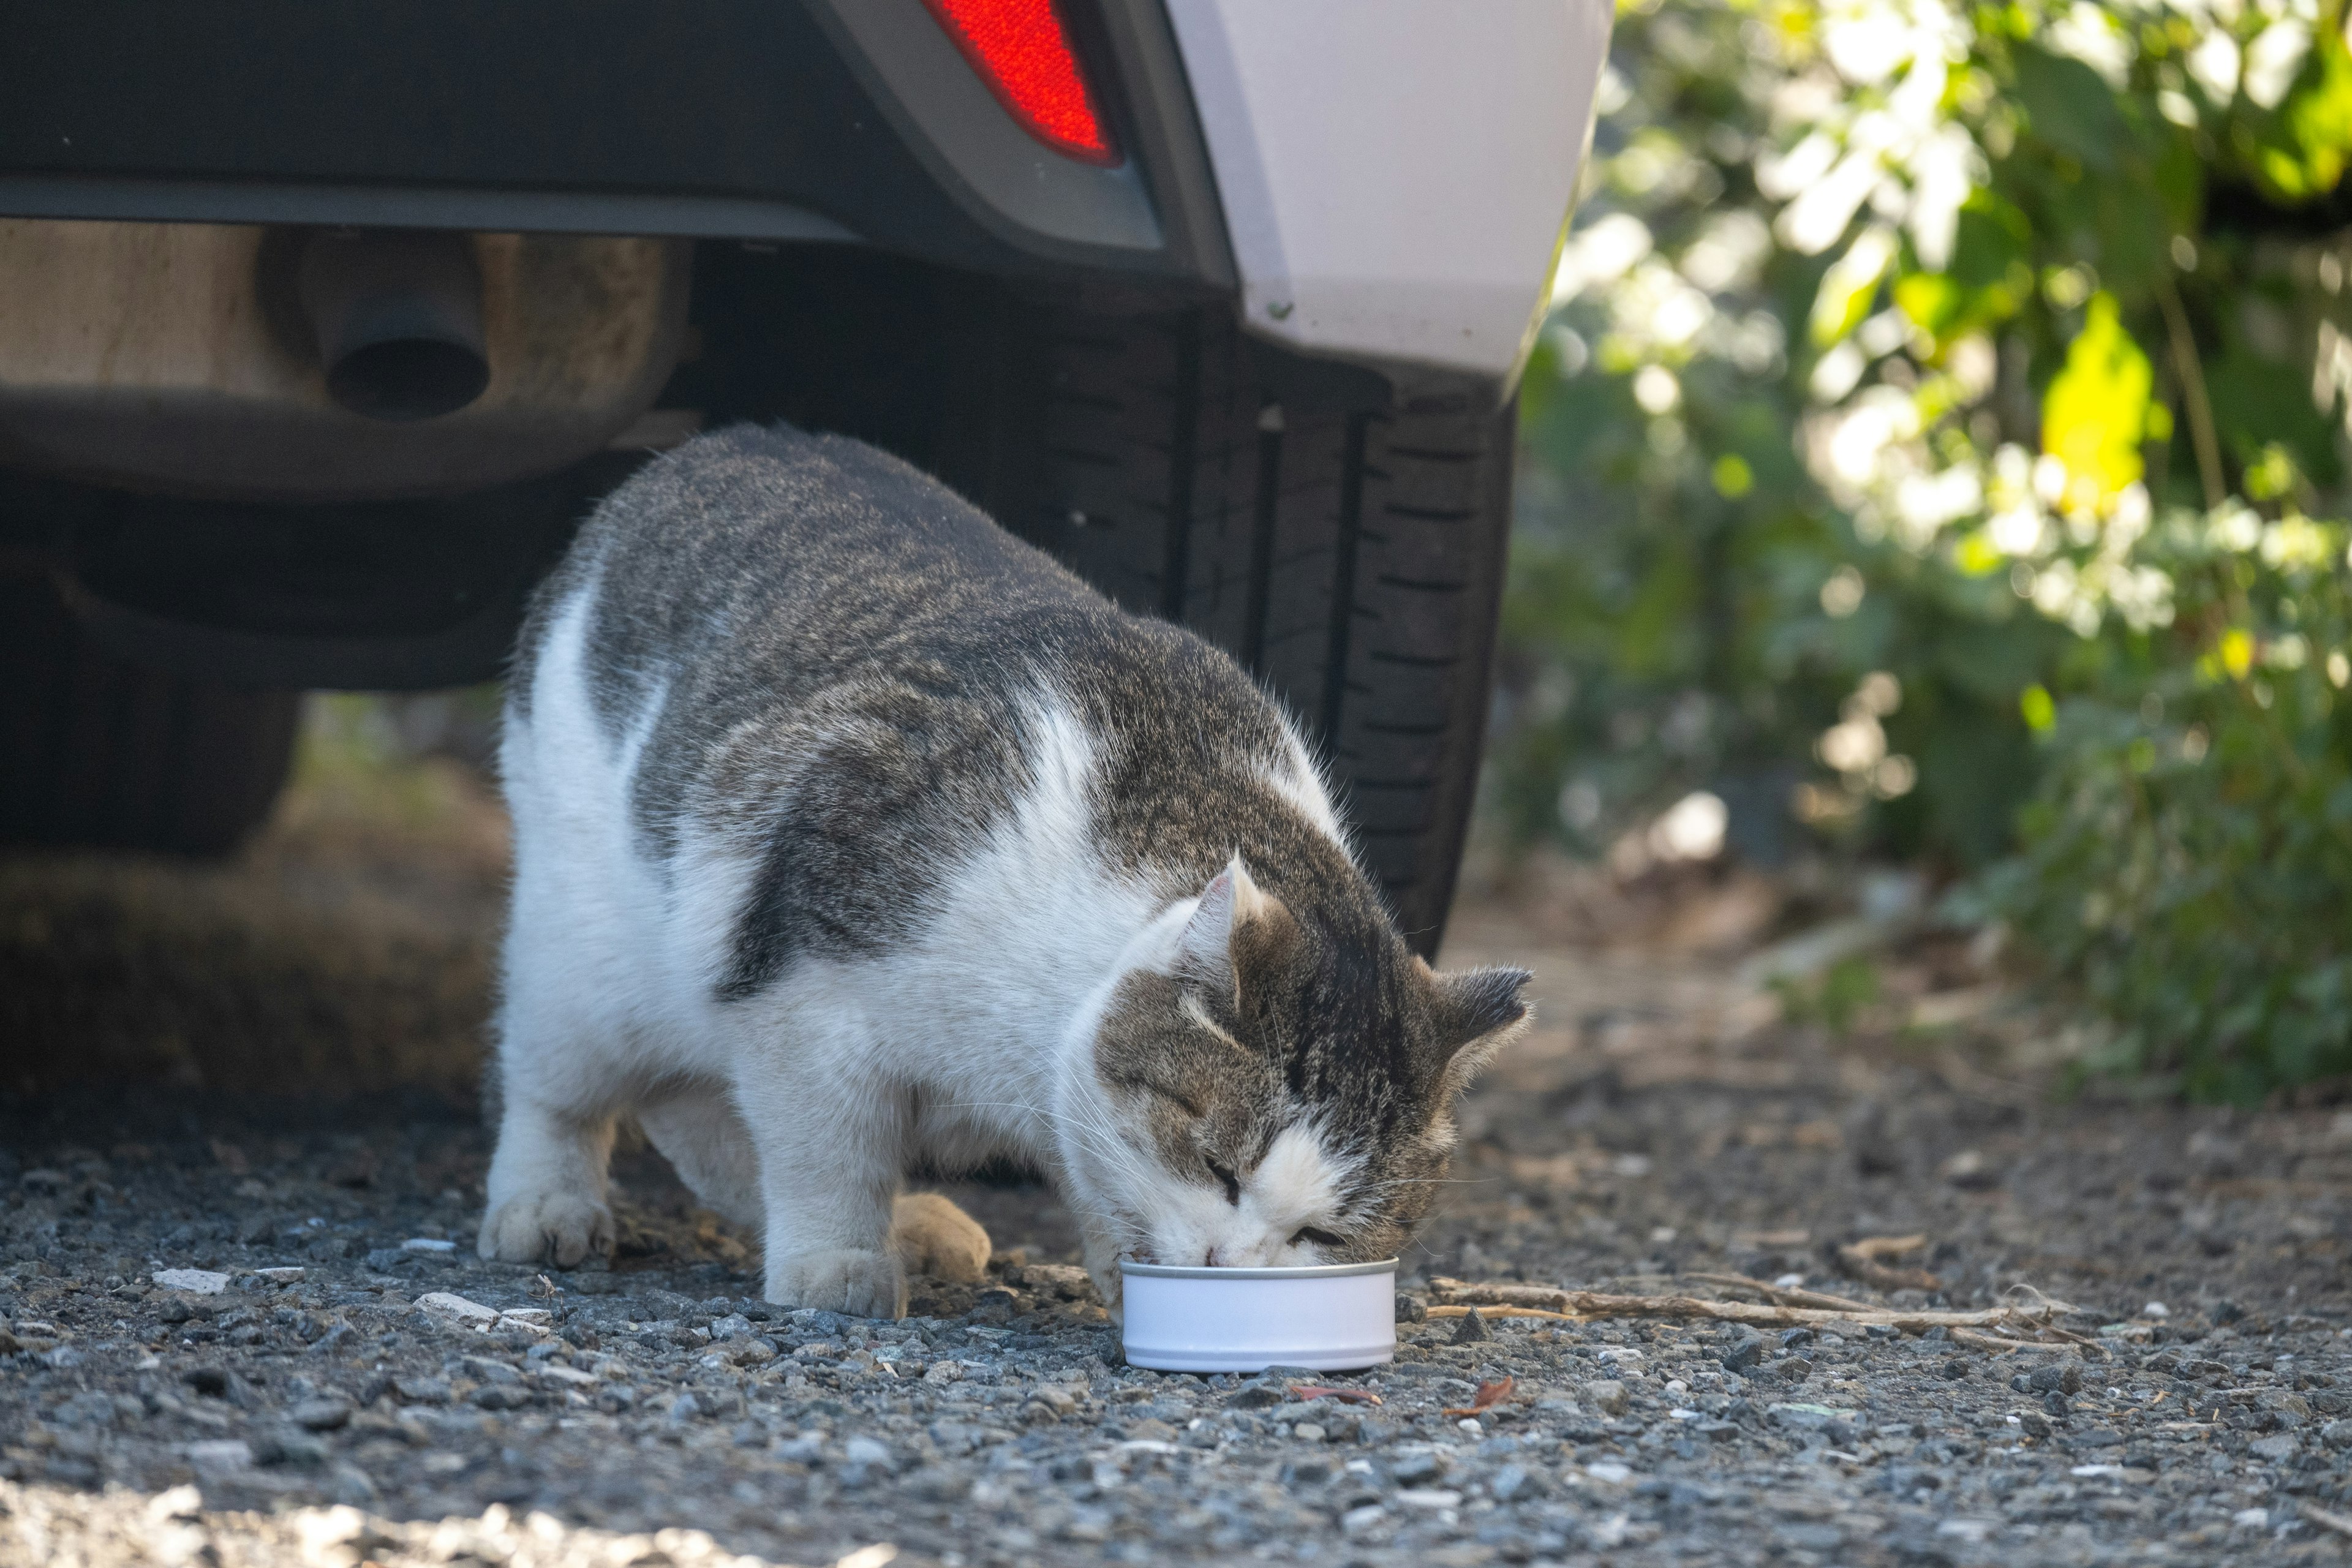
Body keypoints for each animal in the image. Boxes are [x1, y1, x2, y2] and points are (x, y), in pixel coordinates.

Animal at [486, 423, 1533, 1316]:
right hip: (583, 951)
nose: (1222, 1266)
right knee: (563, 1085)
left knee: (696, 1110)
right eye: (1218, 1167)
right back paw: (546, 1206)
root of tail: (696, 451)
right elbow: (828, 1149)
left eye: (1323, 1235)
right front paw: (838, 1262)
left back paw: (915, 1225)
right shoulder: (806, 1001)